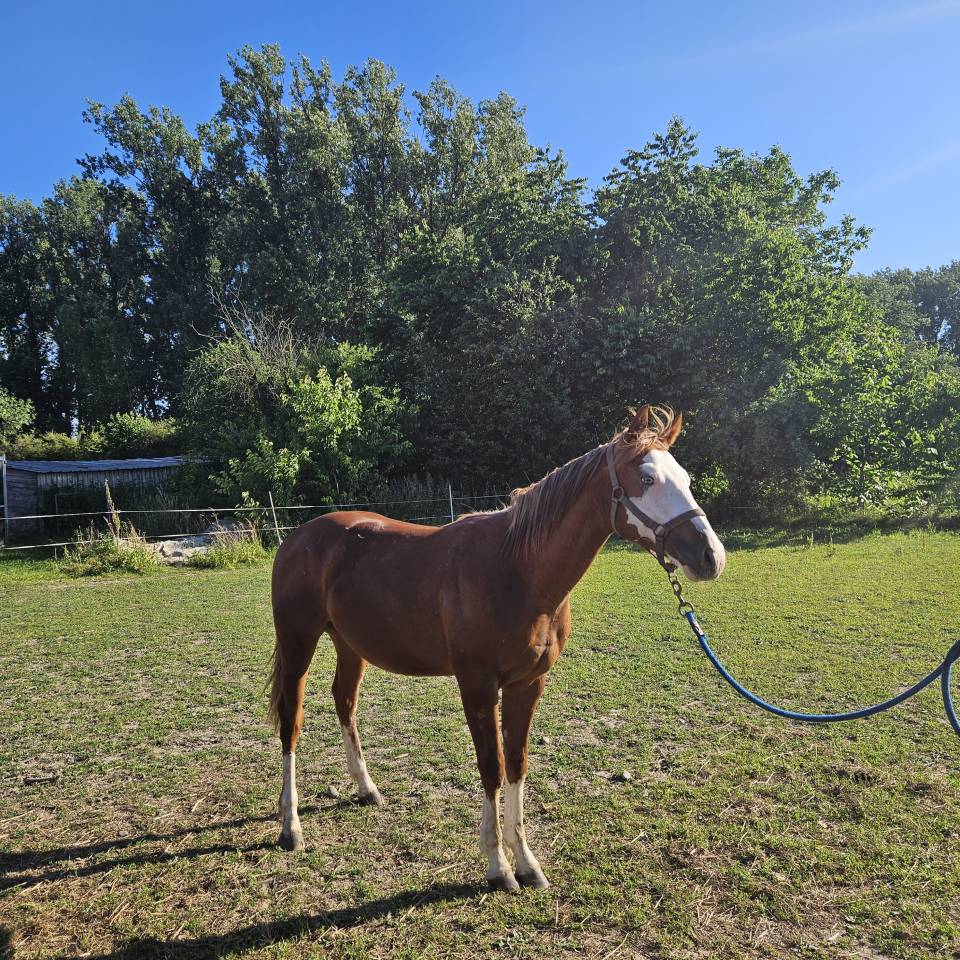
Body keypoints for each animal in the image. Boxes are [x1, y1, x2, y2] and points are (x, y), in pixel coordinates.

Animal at [268, 404, 726, 891]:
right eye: (647, 478)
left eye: (686, 478)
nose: (711, 557)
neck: (517, 570)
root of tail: (298, 536)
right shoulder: (478, 686)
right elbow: (491, 765)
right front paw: (498, 866)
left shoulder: (528, 684)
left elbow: (516, 764)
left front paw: (526, 862)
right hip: (298, 643)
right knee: (291, 722)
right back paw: (291, 826)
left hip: (350, 646)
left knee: (345, 703)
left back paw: (366, 789)